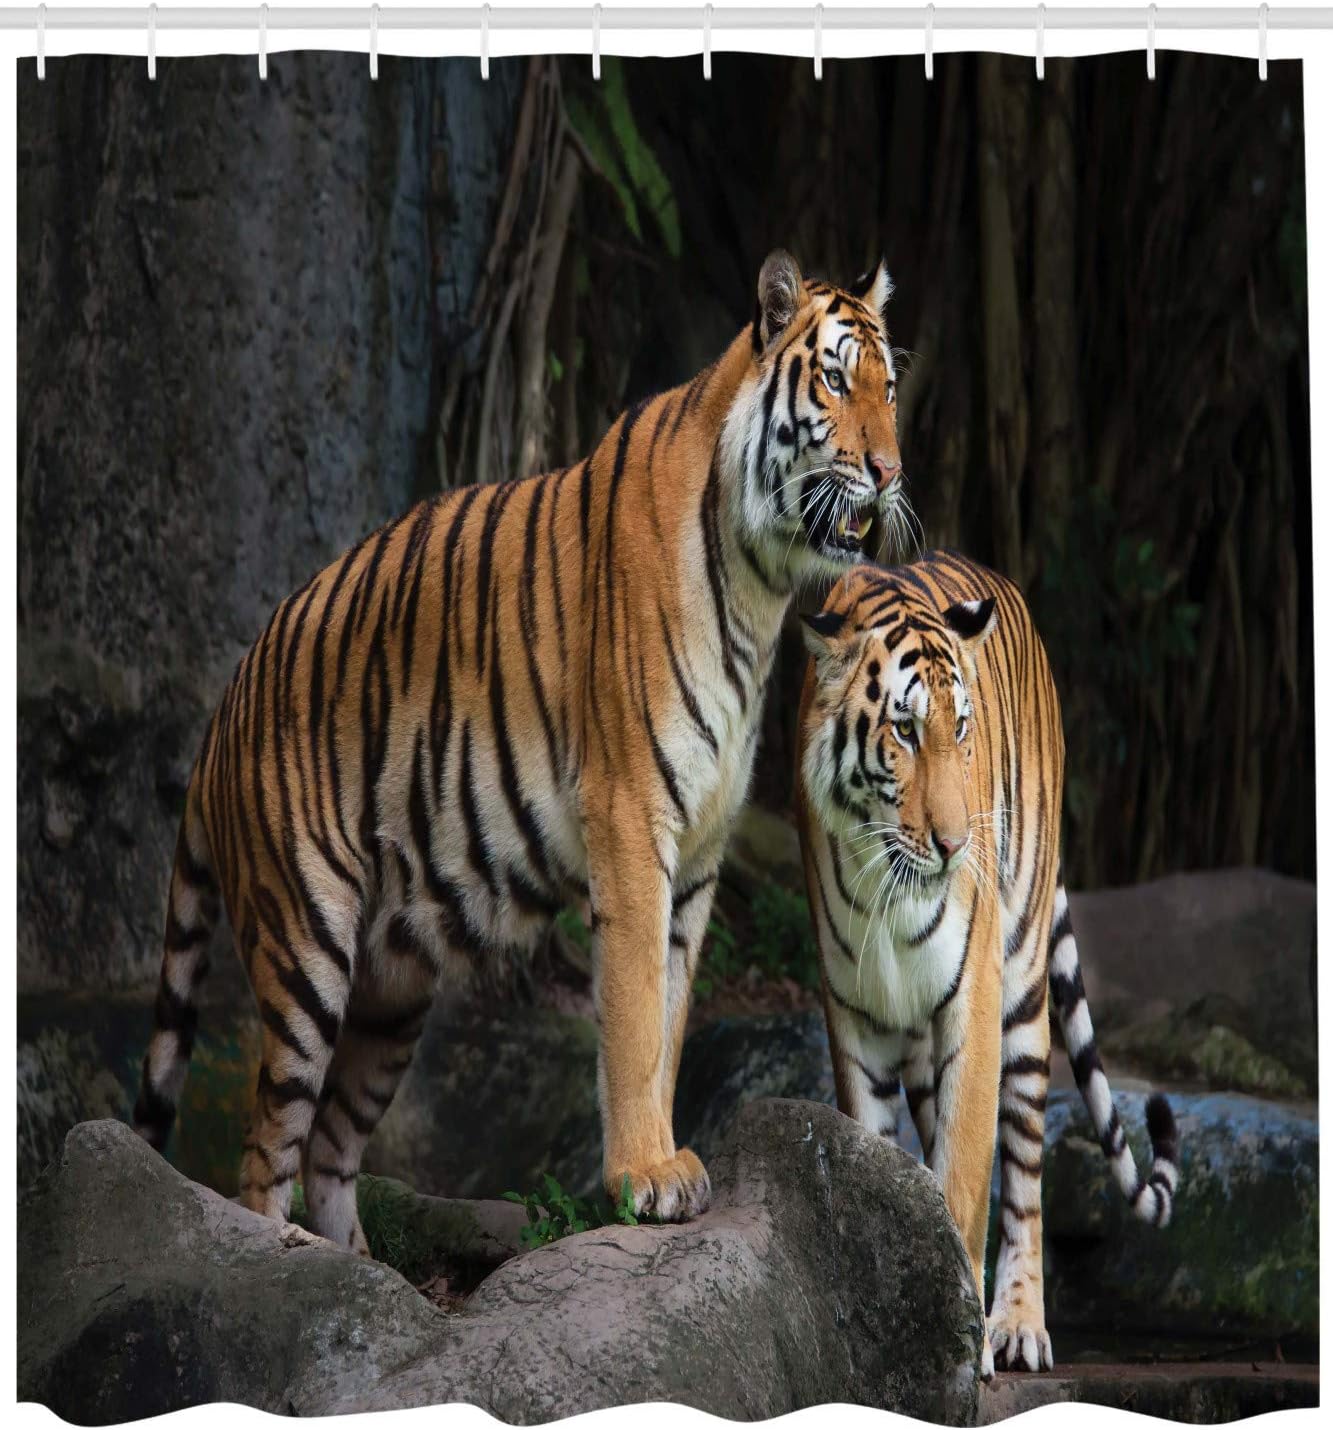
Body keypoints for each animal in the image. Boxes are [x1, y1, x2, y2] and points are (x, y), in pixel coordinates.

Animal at [133, 248, 910, 1253]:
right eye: (835, 381)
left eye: (889, 386)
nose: (890, 471)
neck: (761, 586)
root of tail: (222, 709)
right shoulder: (630, 818)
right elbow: (633, 1014)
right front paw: (644, 1175)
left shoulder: (699, 852)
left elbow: (671, 1013)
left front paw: (666, 1158)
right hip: (305, 942)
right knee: (267, 1150)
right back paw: (285, 1258)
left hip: (393, 988)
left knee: (330, 1147)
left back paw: (358, 1266)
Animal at [794, 551, 1181, 1379]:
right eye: (903, 730)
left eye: (961, 728)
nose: (951, 845)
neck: (885, 882)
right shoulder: (854, 1018)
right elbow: (877, 1167)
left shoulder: (969, 1005)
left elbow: (966, 1179)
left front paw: (958, 1340)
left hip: (1023, 993)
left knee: (1024, 1177)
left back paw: (1017, 1326)